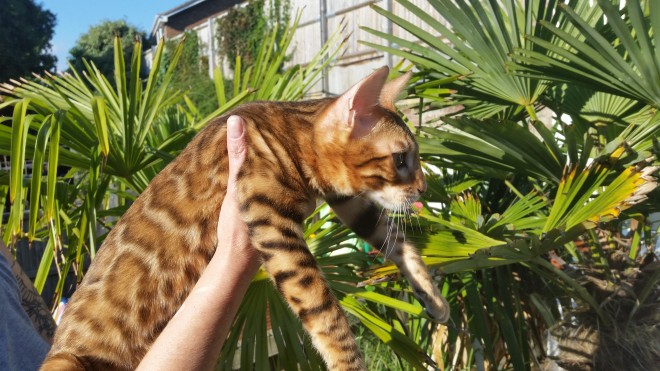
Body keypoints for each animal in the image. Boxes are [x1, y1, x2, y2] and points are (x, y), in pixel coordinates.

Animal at [41, 67, 448, 371]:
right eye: (401, 159)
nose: (425, 188)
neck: (291, 131)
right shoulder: (272, 223)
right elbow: (323, 309)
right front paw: (349, 365)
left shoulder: (346, 200)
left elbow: (399, 243)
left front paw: (432, 297)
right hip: (64, 362)